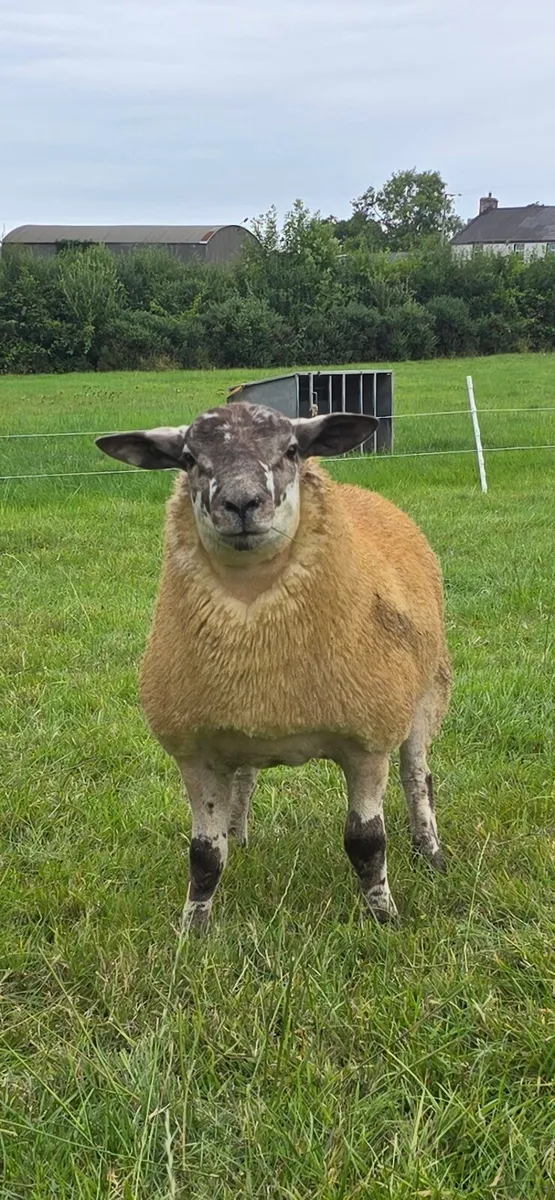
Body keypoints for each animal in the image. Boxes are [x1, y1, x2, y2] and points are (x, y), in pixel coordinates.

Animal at [96, 401, 451, 930]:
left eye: (292, 451)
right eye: (188, 458)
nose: (242, 504)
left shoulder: (368, 740)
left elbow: (366, 843)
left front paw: (384, 917)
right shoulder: (197, 748)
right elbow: (204, 854)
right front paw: (193, 929)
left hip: (427, 693)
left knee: (418, 776)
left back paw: (429, 851)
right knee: (244, 780)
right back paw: (240, 837)